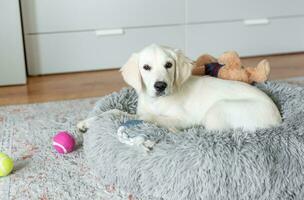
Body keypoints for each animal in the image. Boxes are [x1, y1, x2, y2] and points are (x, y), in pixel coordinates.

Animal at [120, 44, 282, 130]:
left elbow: (155, 118)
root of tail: (278, 120)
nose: (160, 86)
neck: (156, 102)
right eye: (146, 67)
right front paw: (116, 113)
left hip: (218, 110)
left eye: (169, 65)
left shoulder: (184, 119)